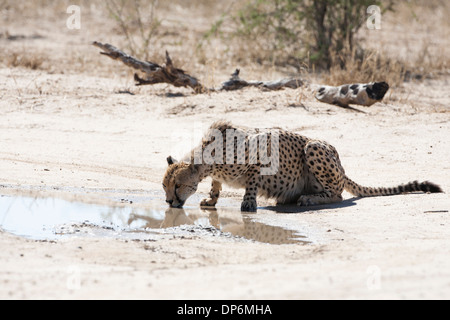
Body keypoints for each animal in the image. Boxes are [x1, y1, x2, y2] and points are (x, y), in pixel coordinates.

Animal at [163, 121, 442, 211]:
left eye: (177, 186)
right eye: (165, 187)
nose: (168, 202)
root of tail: (342, 168)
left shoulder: (261, 153)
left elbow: (251, 182)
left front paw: (248, 203)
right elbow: (216, 184)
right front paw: (211, 199)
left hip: (313, 148)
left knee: (338, 194)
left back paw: (309, 199)